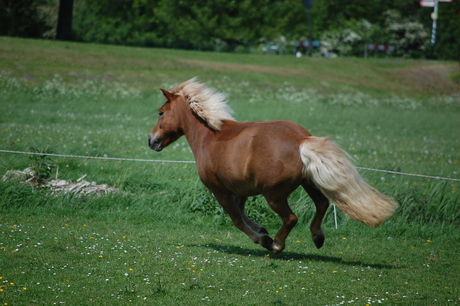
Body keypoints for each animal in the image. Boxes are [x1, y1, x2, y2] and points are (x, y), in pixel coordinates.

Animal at [148, 78, 398, 253]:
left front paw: (263, 238)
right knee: (322, 204)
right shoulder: (240, 190)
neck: (209, 136)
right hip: (308, 182)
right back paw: (317, 237)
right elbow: (244, 214)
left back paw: (277, 245)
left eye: (161, 112)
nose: (151, 140)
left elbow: (237, 219)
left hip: (274, 195)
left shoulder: (220, 190)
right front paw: (261, 229)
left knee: (292, 218)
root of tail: (301, 140)